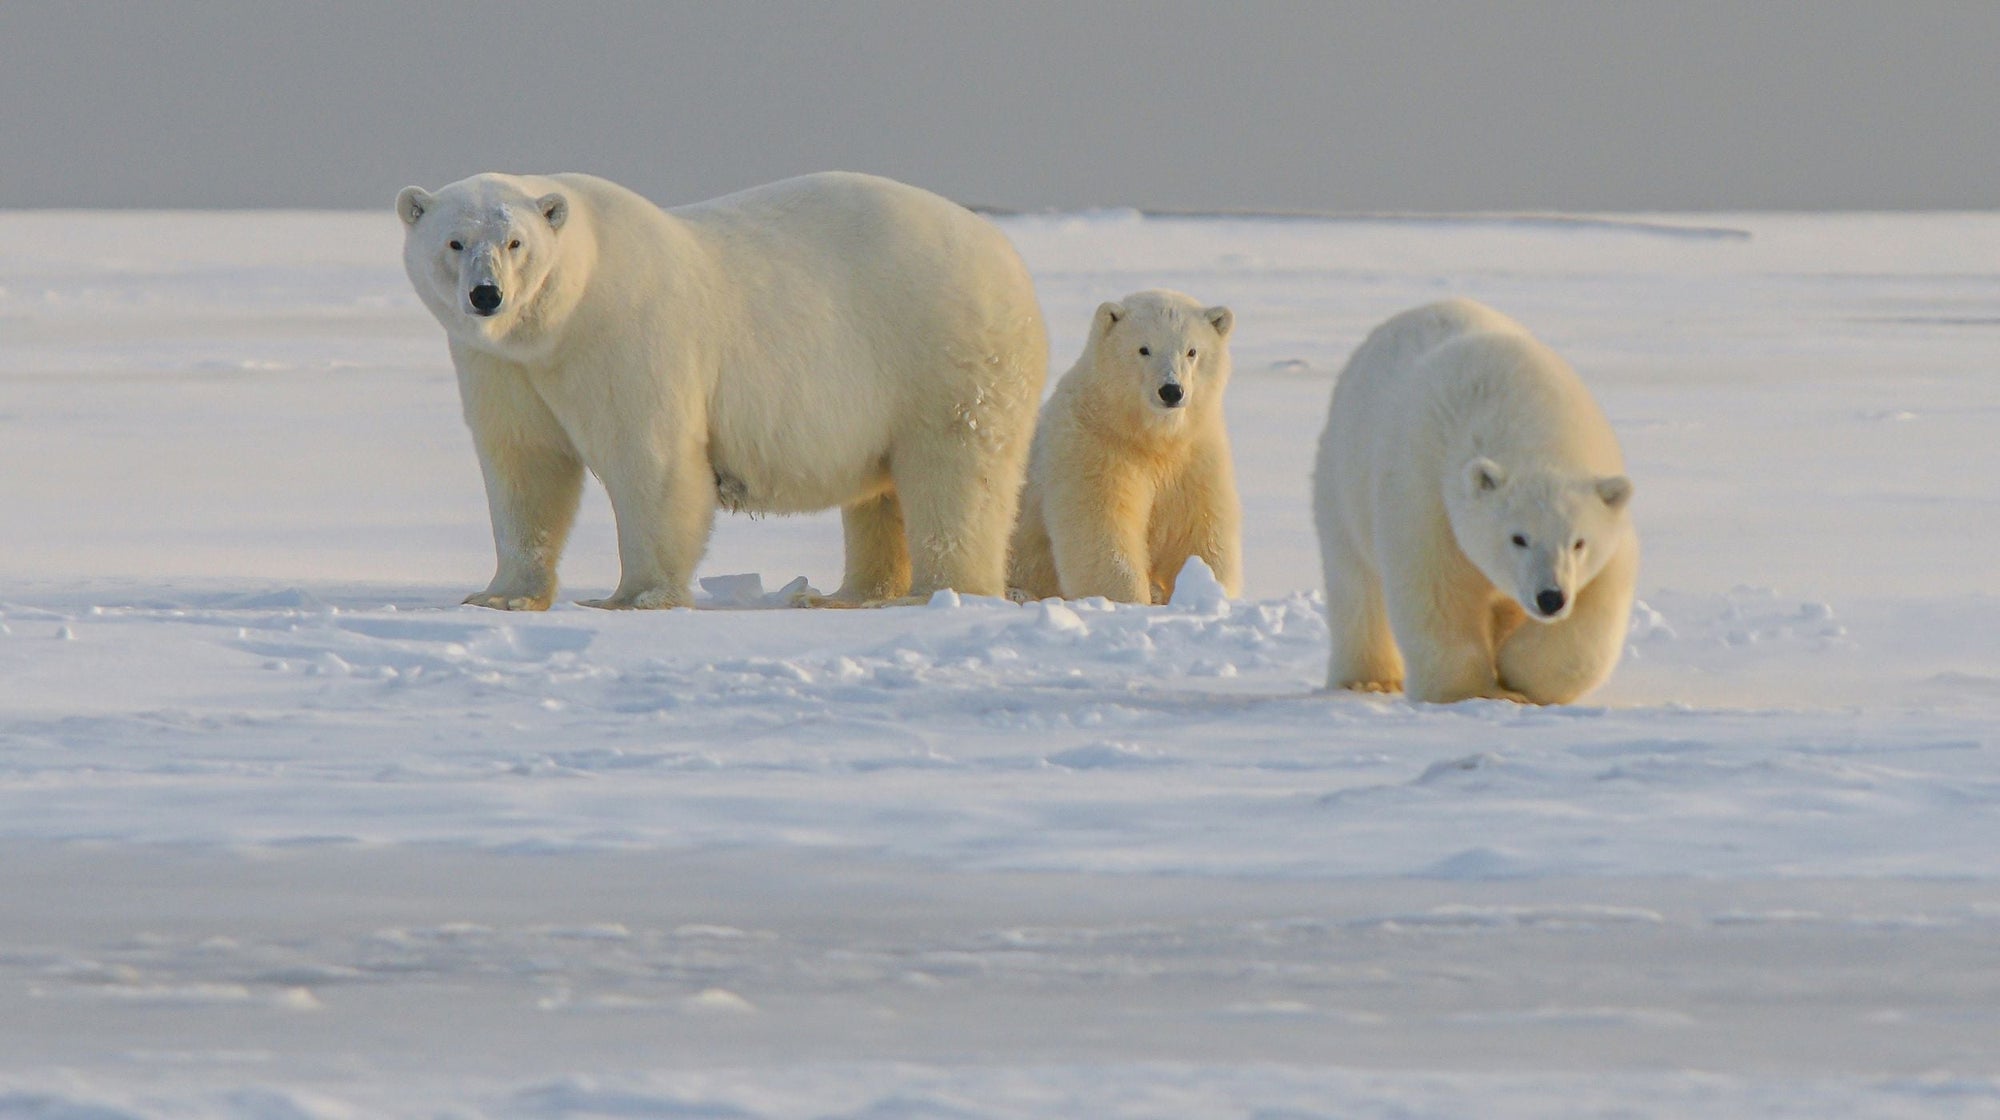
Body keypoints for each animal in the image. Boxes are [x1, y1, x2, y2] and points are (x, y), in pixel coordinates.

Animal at [396, 171, 1048, 610]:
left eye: (516, 243)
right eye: (454, 242)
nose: (487, 295)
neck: (563, 317)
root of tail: (1007, 255)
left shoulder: (628, 335)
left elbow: (650, 460)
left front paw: (634, 597)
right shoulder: (502, 366)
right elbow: (524, 466)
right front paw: (501, 595)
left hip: (943, 353)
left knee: (955, 474)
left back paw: (940, 592)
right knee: (881, 494)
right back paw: (849, 594)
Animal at [1007, 289, 1241, 604]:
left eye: (1192, 351)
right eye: (1144, 349)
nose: (1171, 391)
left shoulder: (1195, 454)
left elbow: (1198, 531)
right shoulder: (1093, 448)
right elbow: (1102, 530)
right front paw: (1130, 599)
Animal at [1312, 298, 1637, 704]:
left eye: (1579, 542)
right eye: (1518, 538)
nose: (1551, 598)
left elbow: (1596, 607)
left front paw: (1518, 675)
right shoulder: (1426, 494)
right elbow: (1437, 590)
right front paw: (1471, 691)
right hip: (1342, 481)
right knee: (1355, 584)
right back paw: (1368, 679)